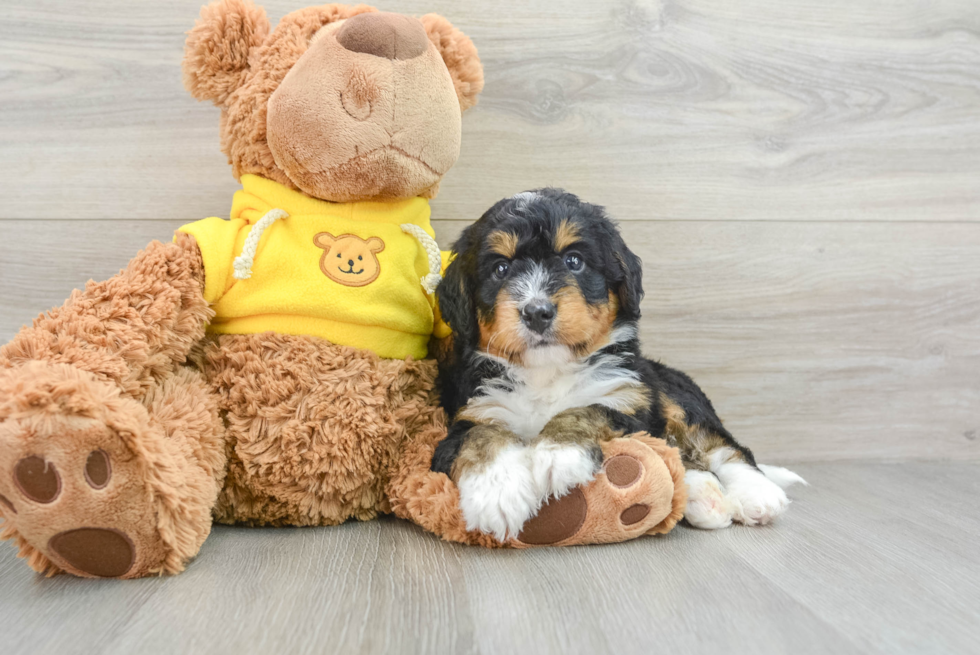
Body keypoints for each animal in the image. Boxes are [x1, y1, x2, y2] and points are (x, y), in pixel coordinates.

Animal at [432, 188, 808, 540]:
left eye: (574, 261)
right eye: (500, 269)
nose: (537, 311)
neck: (546, 372)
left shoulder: (628, 402)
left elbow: (586, 410)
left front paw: (557, 454)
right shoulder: (473, 410)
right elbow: (481, 434)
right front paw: (497, 492)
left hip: (671, 392)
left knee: (717, 445)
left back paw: (757, 495)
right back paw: (705, 499)